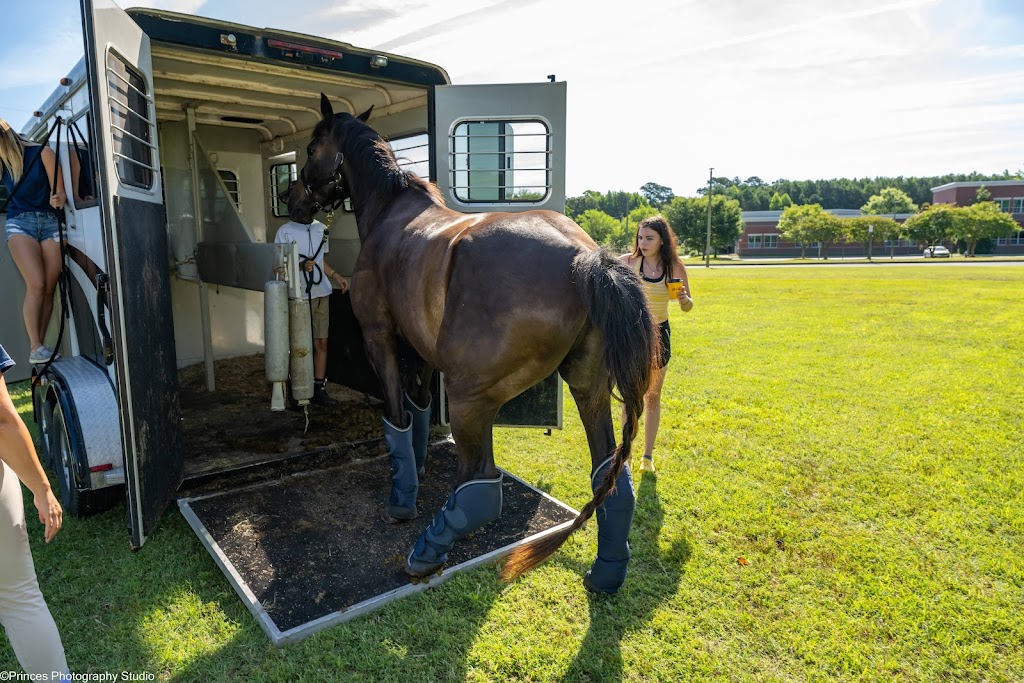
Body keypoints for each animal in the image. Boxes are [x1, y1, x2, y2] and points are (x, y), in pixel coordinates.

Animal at [287, 94, 658, 593]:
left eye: (310, 149)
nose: (292, 201)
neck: (391, 211)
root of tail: (585, 255)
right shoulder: (421, 351)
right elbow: (420, 409)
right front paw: (418, 466)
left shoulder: (380, 338)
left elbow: (398, 415)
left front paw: (402, 498)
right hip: (587, 389)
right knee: (609, 476)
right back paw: (607, 572)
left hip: (471, 397)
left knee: (480, 482)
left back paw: (428, 550)